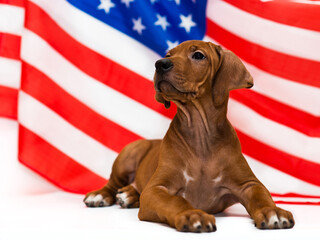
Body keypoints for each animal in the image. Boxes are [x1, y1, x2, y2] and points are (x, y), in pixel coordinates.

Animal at [83, 40, 296, 232]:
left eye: (198, 55)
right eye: (168, 55)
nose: (160, 63)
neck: (200, 133)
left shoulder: (248, 184)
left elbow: (262, 196)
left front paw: (273, 211)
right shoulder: (156, 189)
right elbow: (175, 201)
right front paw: (192, 215)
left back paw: (129, 195)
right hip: (129, 154)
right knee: (112, 183)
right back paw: (101, 195)